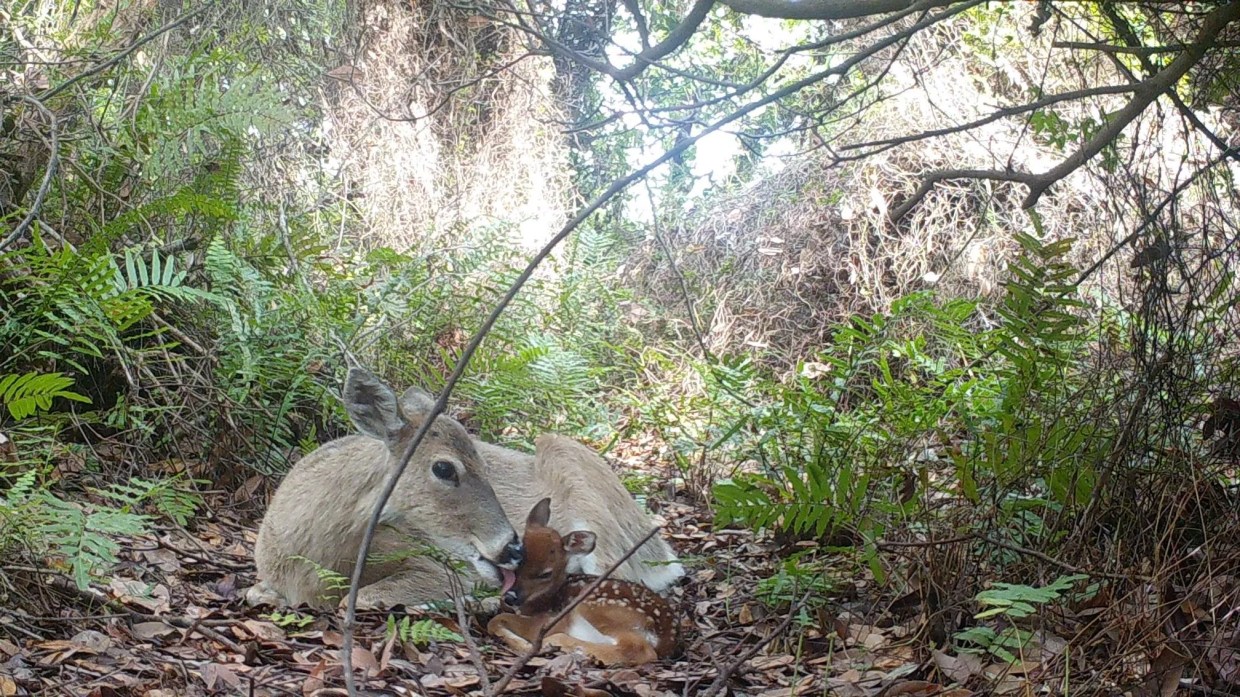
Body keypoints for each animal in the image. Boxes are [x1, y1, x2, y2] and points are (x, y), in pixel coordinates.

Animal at [246, 368, 683, 611]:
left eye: (483, 462)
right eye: (444, 467)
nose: (514, 547)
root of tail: (661, 549)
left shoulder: (437, 564)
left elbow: (365, 596)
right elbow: (254, 593)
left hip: (589, 501)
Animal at [486, 498, 680, 667]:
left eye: (546, 574)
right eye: (516, 565)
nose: (511, 597)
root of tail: (667, 637)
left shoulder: (547, 621)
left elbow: (496, 620)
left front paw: (524, 644)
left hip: (598, 608)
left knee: (638, 649)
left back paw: (556, 642)